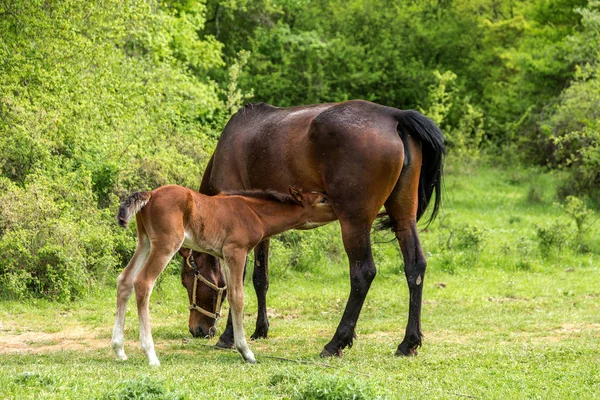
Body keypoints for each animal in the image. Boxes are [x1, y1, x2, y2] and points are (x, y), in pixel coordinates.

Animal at [109, 185, 332, 366]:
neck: (254, 213)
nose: (337, 208)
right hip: (166, 243)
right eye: (322, 199)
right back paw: (151, 354)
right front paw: (246, 352)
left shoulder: (224, 256)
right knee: (143, 282)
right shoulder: (236, 251)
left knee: (124, 280)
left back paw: (119, 350)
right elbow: (238, 297)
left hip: (145, 242)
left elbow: (231, 294)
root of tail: (151, 194)